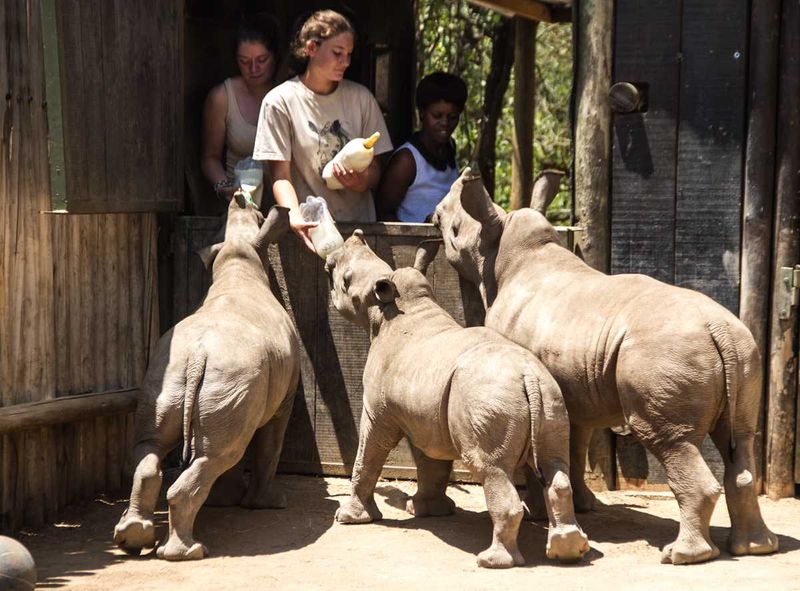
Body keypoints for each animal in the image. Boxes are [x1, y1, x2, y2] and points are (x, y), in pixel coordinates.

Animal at [114, 196, 300, 560]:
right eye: (260, 216)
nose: (240, 197)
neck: (238, 258)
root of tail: (197, 355)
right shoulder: (282, 396)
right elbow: (270, 444)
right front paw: (270, 504)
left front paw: (225, 501)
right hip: (226, 373)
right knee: (220, 454)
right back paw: (188, 552)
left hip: (171, 372)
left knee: (153, 445)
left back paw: (133, 538)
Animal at [325, 231, 589, 568]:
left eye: (345, 280)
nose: (355, 236)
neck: (388, 308)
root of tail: (528, 376)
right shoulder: (424, 411)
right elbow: (431, 461)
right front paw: (426, 511)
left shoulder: (379, 409)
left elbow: (368, 454)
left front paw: (348, 517)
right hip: (550, 396)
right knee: (554, 463)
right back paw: (567, 551)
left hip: (487, 397)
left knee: (490, 468)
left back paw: (490, 561)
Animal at [427, 169, 779, 565]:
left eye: (454, 230)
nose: (434, 214)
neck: (502, 248)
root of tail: (718, 331)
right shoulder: (574, 389)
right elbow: (575, 445)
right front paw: (584, 506)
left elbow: (541, 455)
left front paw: (538, 515)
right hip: (743, 351)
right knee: (741, 439)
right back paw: (756, 548)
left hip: (665, 354)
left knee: (671, 439)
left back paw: (681, 555)